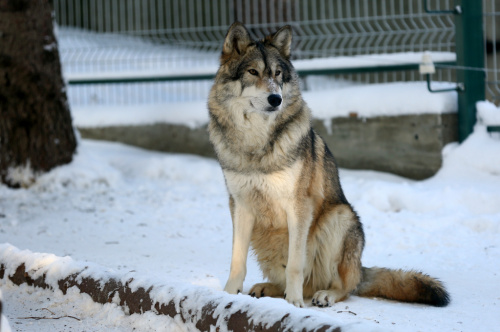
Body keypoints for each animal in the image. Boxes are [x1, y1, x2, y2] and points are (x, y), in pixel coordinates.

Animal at [207, 22, 450, 308]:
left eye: (278, 74)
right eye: (253, 72)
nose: (276, 99)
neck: (257, 143)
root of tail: (361, 268)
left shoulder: (299, 206)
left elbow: (295, 266)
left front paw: (294, 304)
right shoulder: (239, 204)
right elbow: (237, 261)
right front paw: (228, 294)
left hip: (339, 218)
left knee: (342, 286)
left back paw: (323, 295)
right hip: (266, 238)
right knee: (304, 281)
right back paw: (267, 288)